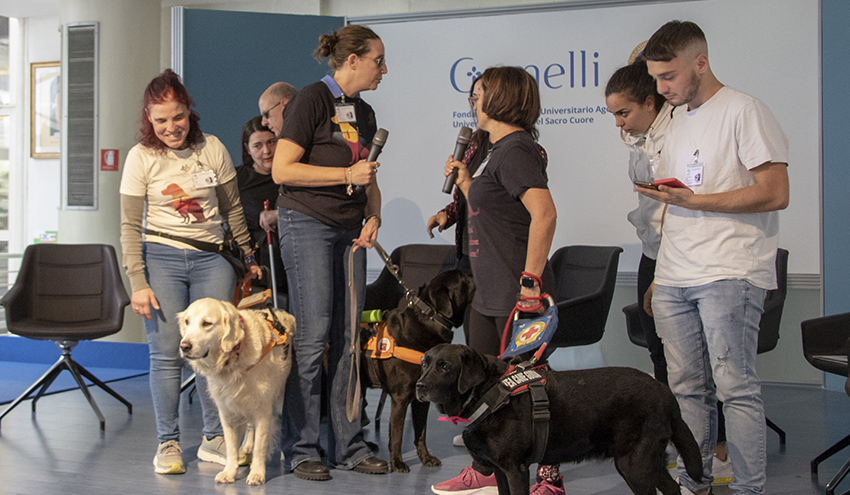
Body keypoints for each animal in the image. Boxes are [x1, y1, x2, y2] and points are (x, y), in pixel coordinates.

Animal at [178, 298, 295, 485]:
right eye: (187, 322)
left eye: (207, 323)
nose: (184, 346)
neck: (234, 358)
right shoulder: (228, 410)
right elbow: (231, 447)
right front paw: (229, 472)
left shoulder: (263, 410)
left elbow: (260, 445)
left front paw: (257, 473)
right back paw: (246, 446)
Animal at [361, 269, 475, 472]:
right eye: (462, 278)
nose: (472, 275)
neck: (430, 319)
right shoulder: (400, 398)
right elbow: (397, 435)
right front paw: (397, 463)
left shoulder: (422, 397)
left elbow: (421, 433)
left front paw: (426, 458)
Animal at [416, 344, 704, 495]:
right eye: (424, 364)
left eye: (445, 367)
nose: (419, 386)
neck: (487, 393)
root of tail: (664, 391)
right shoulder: (499, 470)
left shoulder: (515, 469)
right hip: (647, 461)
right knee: (672, 488)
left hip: (634, 463)